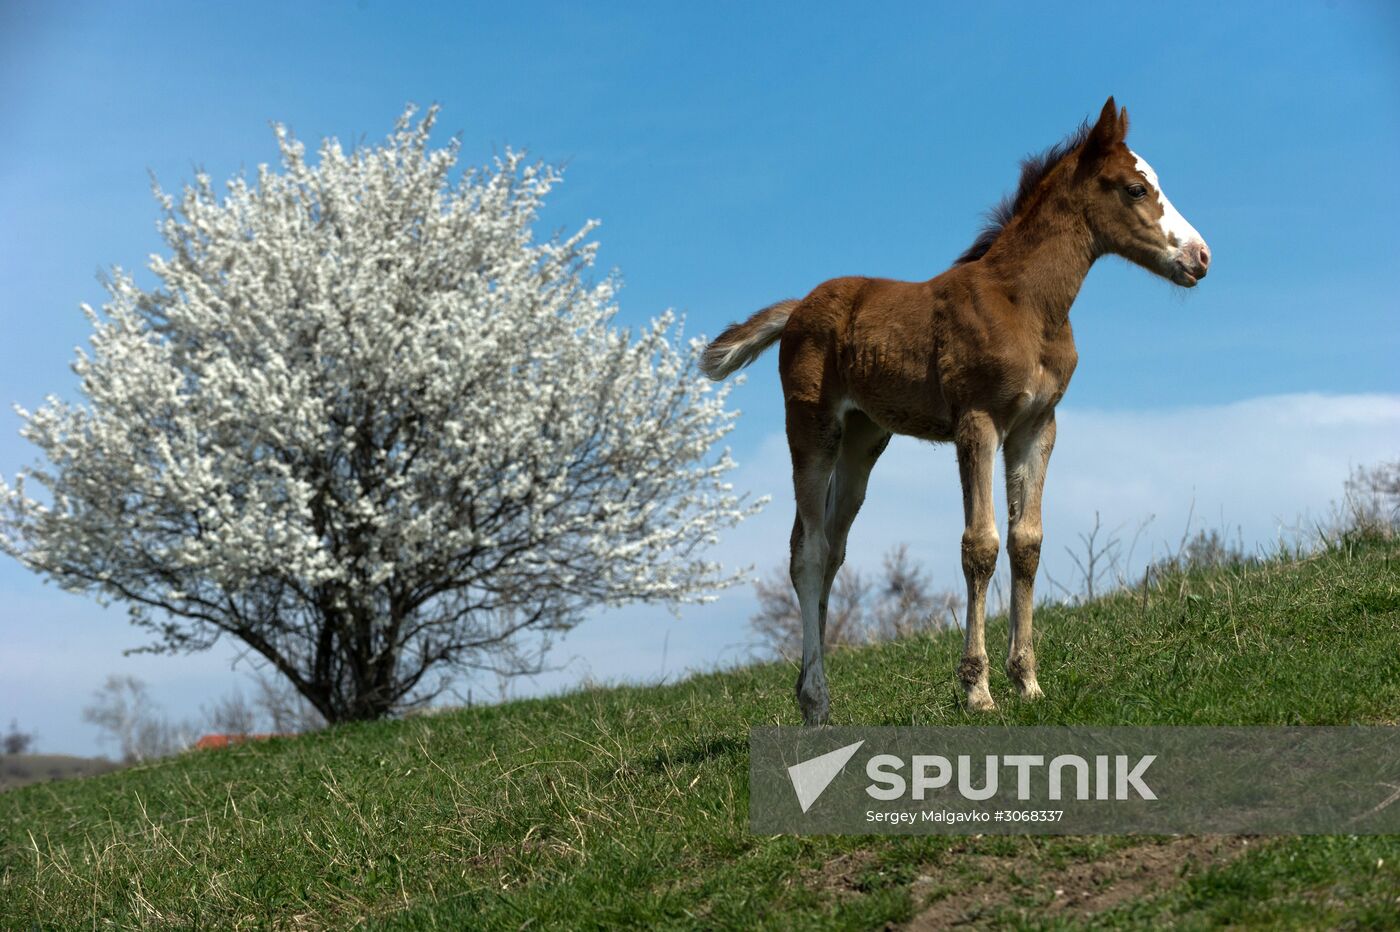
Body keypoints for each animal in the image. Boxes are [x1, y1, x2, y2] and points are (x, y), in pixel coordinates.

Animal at [705, 97, 1209, 722]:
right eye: (1137, 188)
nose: (1201, 257)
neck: (1026, 304)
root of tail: (798, 308)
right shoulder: (978, 420)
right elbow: (980, 545)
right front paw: (976, 689)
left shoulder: (1036, 427)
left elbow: (1025, 543)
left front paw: (1028, 682)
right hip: (811, 429)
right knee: (808, 551)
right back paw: (817, 701)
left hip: (863, 440)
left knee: (833, 551)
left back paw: (811, 695)